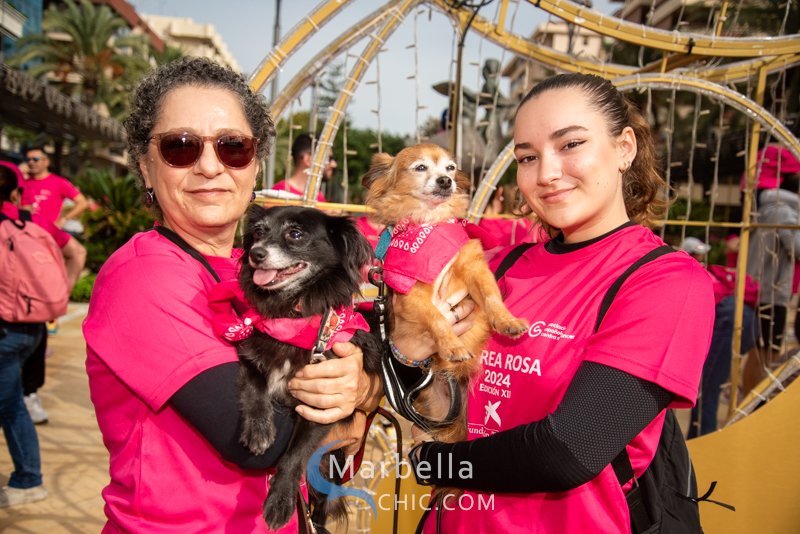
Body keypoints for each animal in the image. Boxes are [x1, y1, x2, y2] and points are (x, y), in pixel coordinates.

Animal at [234, 205, 382, 532]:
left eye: (296, 234)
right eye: (258, 232)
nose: (256, 254)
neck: (291, 315)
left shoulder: (323, 402)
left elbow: (295, 454)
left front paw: (279, 501)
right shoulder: (251, 352)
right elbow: (255, 384)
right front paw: (260, 429)